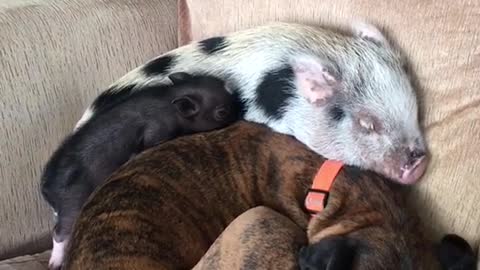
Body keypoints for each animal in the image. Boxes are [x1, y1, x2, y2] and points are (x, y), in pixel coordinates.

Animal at [40, 72, 239, 270]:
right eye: (221, 112)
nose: (240, 107)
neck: (172, 97)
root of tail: (47, 188)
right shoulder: (157, 131)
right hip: (72, 204)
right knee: (59, 232)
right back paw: (55, 263)